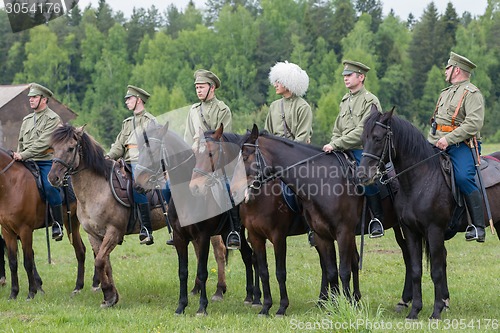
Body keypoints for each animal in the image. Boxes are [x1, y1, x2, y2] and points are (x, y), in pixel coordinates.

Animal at [0, 147, 94, 300]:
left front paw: (31, 292)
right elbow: (13, 262)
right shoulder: (7, 231)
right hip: (71, 223)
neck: (11, 184)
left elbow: (28, 261)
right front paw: (13, 294)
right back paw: (78, 287)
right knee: (80, 250)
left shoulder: (25, 230)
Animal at [127, 122, 260, 314]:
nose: (138, 185)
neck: (187, 197)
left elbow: (202, 271)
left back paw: (255, 297)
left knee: (252, 256)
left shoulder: (202, 237)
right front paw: (181, 306)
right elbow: (183, 271)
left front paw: (202, 307)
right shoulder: (179, 238)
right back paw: (249, 296)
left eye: (154, 151)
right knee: (248, 255)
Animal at [356, 107, 500, 318]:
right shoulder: (411, 231)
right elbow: (416, 270)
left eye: (377, 138)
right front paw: (414, 310)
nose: (362, 175)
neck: (419, 180)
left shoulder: (434, 231)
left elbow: (437, 271)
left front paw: (436, 311)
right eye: (363, 138)